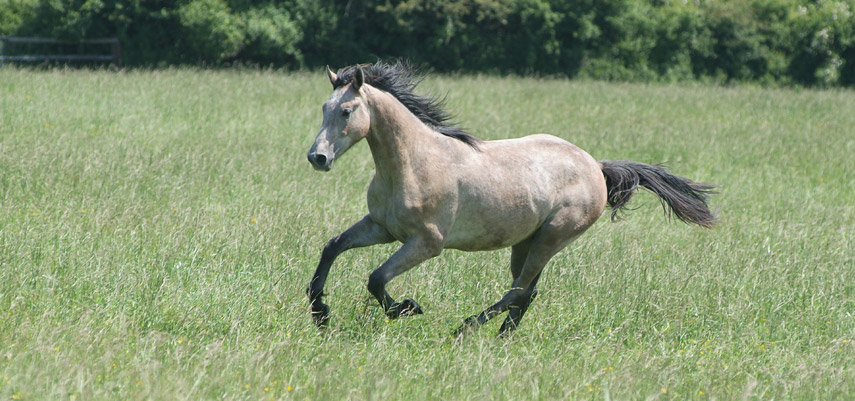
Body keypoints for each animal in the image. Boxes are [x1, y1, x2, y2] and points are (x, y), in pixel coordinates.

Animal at [308, 60, 716, 334]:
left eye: (347, 110)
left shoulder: (426, 243)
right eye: (324, 108)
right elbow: (332, 247)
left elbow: (376, 278)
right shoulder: (381, 227)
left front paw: (407, 308)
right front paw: (319, 313)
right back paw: (502, 336)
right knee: (525, 293)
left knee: (518, 291)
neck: (414, 162)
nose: (318, 157)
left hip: (552, 237)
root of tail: (596, 167)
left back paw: (465, 329)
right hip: (526, 241)